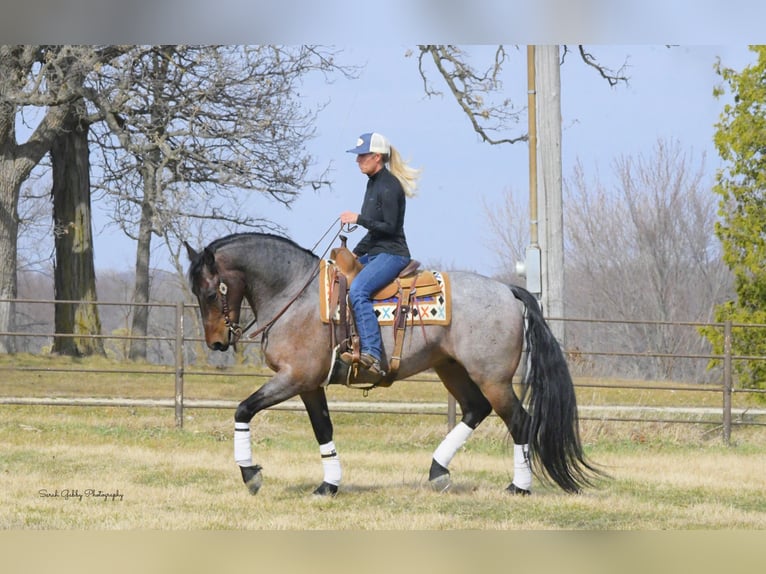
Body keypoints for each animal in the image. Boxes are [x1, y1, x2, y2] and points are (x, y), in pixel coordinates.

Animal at [184, 232, 600, 498]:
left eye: (211, 292)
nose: (217, 342)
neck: (295, 295)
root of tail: (508, 291)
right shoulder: (310, 384)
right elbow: (323, 429)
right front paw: (329, 485)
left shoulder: (295, 378)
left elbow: (244, 409)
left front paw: (250, 475)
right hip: (452, 369)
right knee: (475, 409)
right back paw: (438, 473)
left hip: (493, 377)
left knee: (519, 422)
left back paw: (518, 487)